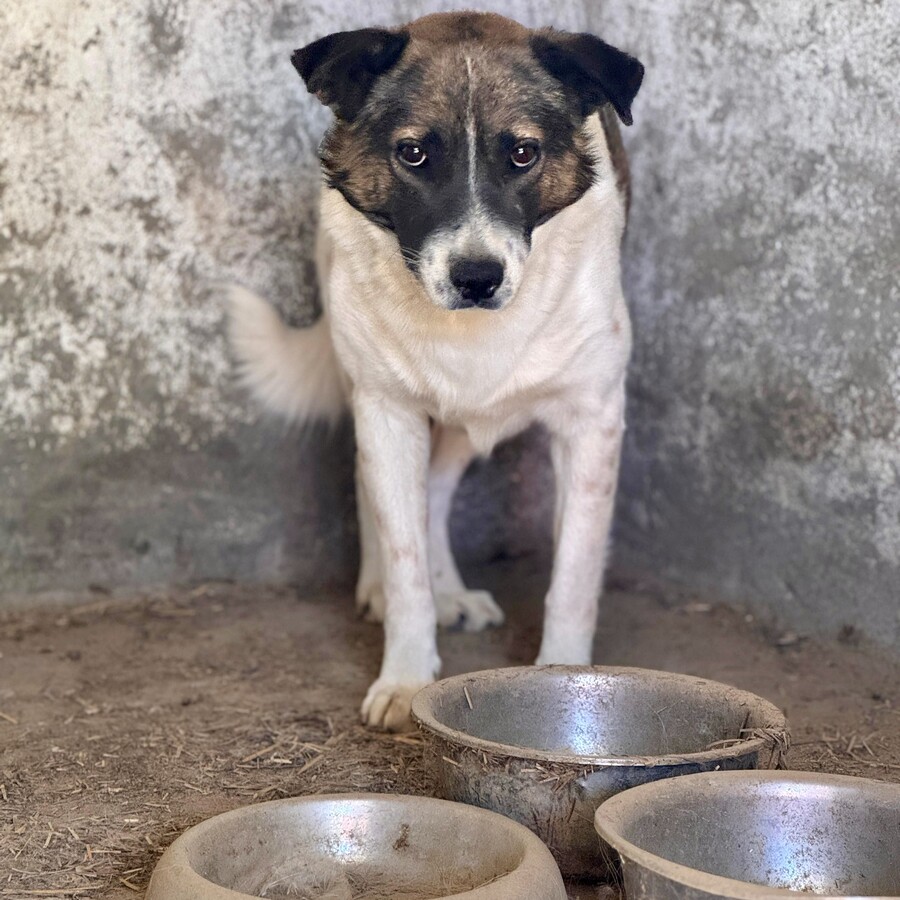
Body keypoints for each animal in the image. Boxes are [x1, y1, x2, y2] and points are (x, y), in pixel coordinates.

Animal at [228, 11, 643, 731]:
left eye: (523, 153)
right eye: (414, 153)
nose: (477, 278)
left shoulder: (591, 421)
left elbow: (573, 575)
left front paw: (565, 686)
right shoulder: (388, 411)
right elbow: (405, 561)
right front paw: (404, 677)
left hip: (465, 418)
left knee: (440, 490)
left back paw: (452, 589)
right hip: (372, 385)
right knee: (379, 488)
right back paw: (383, 588)